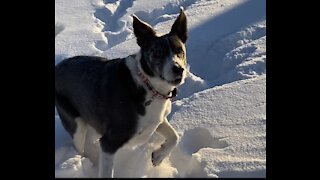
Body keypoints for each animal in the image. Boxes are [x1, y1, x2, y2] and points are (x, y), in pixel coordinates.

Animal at [55, 8, 188, 177]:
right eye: (157, 53)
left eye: (179, 51)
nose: (178, 69)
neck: (148, 85)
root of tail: (57, 67)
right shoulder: (109, 142)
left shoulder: (156, 120)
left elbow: (174, 136)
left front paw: (158, 156)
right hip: (75, 122)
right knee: (79, 145)